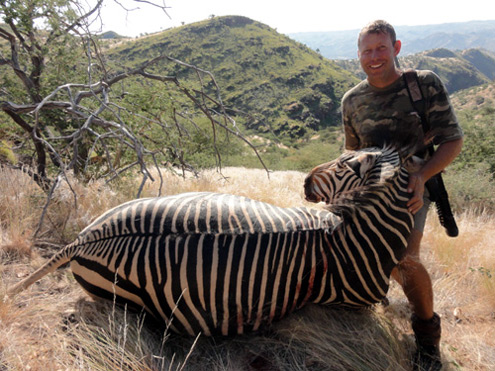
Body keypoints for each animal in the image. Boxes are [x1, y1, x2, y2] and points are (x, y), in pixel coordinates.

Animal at [8, 147, 414, 338]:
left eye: (345, 164)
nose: (305, 183)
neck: (351, 236)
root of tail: (83, 240)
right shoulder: (355, 302)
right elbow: (385, 304)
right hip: (129, 301)